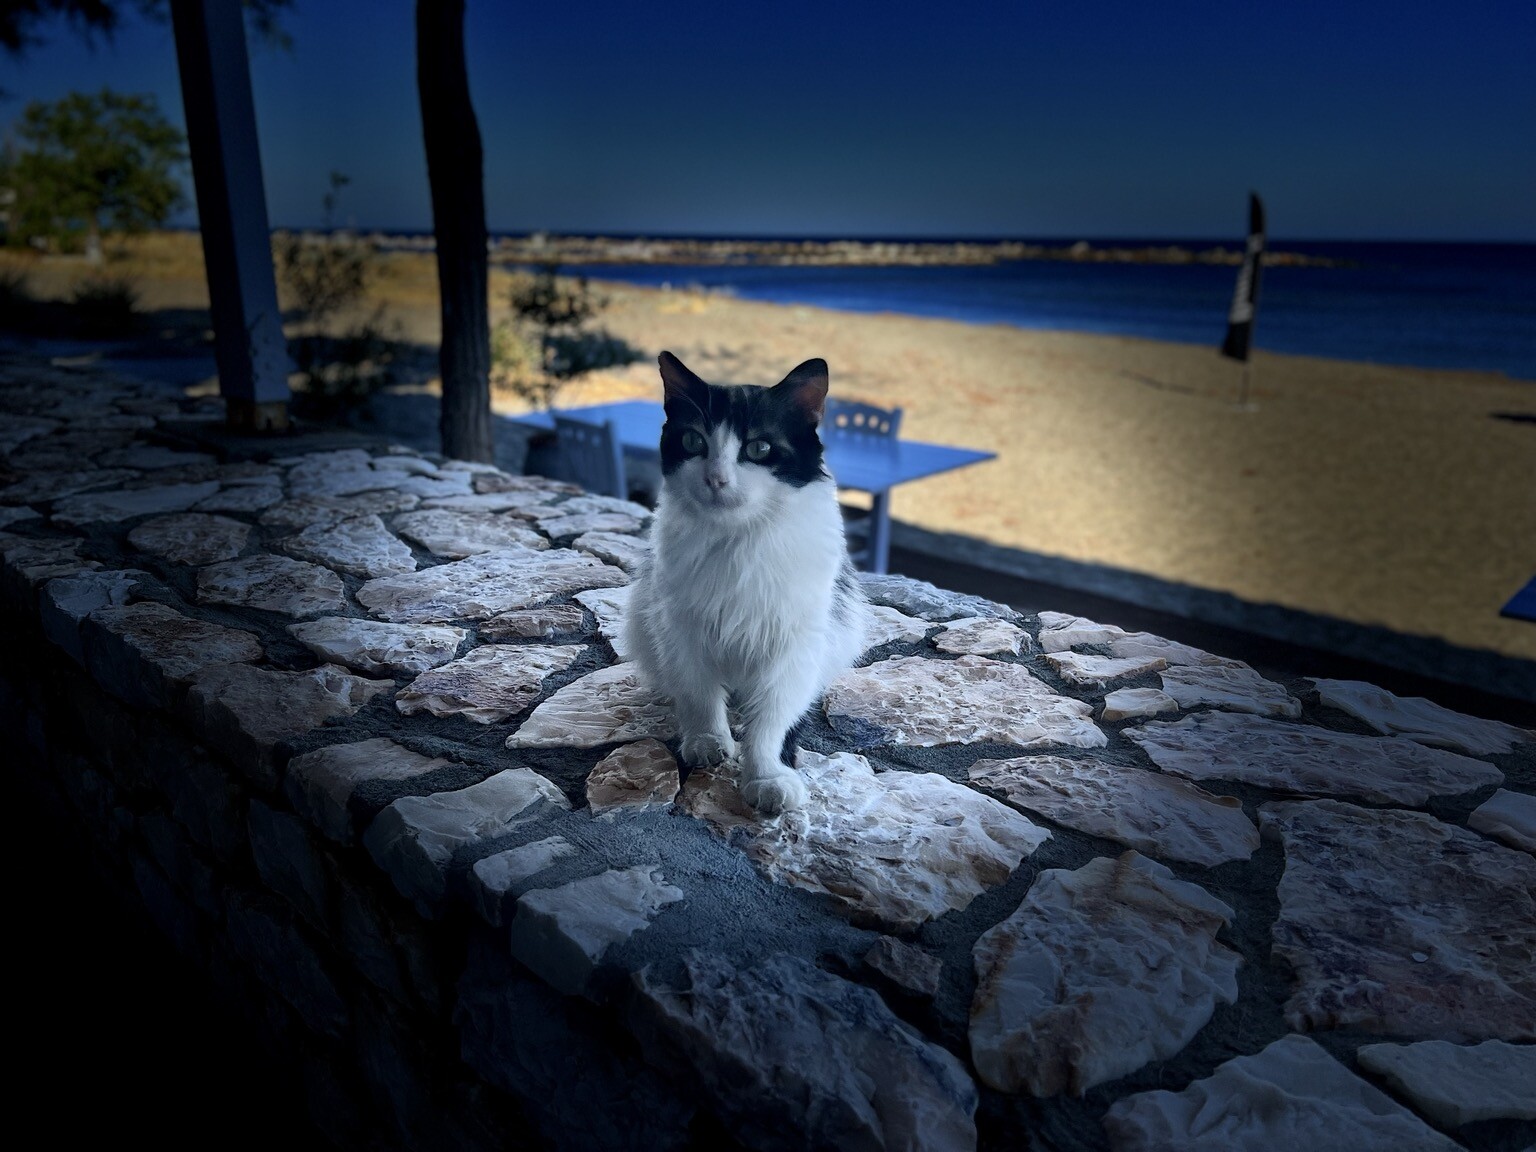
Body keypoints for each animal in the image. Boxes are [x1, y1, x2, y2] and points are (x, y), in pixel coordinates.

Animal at [620, 356, 866, 817]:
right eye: (693, 441)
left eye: (759, 449)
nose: (716, 479)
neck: (738, 539)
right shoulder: (681, 628)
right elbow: (699, 693)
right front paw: (707, 740)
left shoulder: (796, 647)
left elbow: (771, 720)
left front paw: (767, 776)